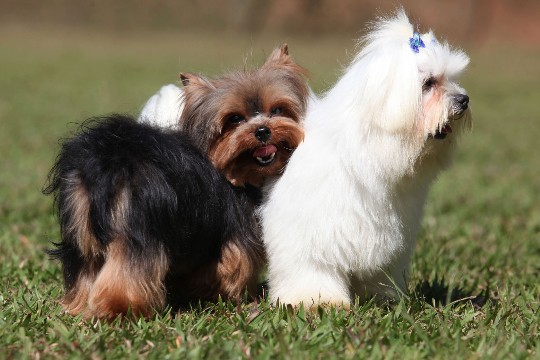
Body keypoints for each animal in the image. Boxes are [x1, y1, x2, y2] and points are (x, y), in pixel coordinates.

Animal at [262, 10, 472, 306]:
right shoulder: (309, 230)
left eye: (452, 78)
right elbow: (312, 267)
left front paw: (381, 297)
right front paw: (317, 301)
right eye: (429, 83)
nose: (464, 99)